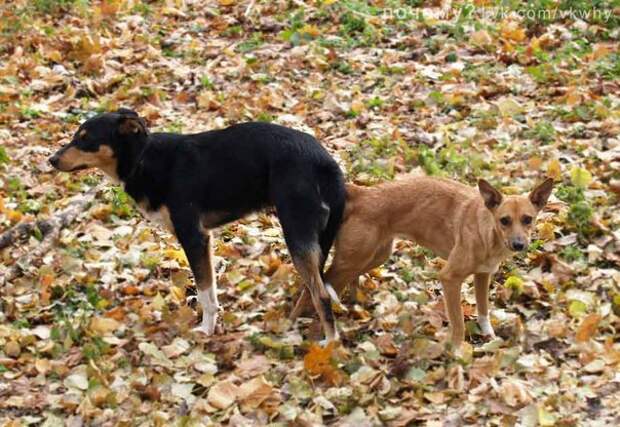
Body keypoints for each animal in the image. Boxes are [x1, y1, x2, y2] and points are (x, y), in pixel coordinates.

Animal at [49, 108, 346, 342]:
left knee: (322, 295)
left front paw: (205, 331)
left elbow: (204, 293)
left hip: (296, 233)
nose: (51, 160)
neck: (143, 158)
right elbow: (211, 291)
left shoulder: (193, 237)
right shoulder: (206, 239)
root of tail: (325, 161)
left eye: (86, 139)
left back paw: (330, 346)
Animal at [290, 176, 552, 352]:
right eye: (504, 220)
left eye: (527, 219)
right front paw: (456, 352)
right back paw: (299, 327)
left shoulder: (483, 275)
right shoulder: (449, 278)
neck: (487, 230)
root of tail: (361, 193)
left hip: (375, 256)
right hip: (353, 260)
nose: (519, 244)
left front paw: (488, 334)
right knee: (315, 288)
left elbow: (483, 309)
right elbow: (458, 323)